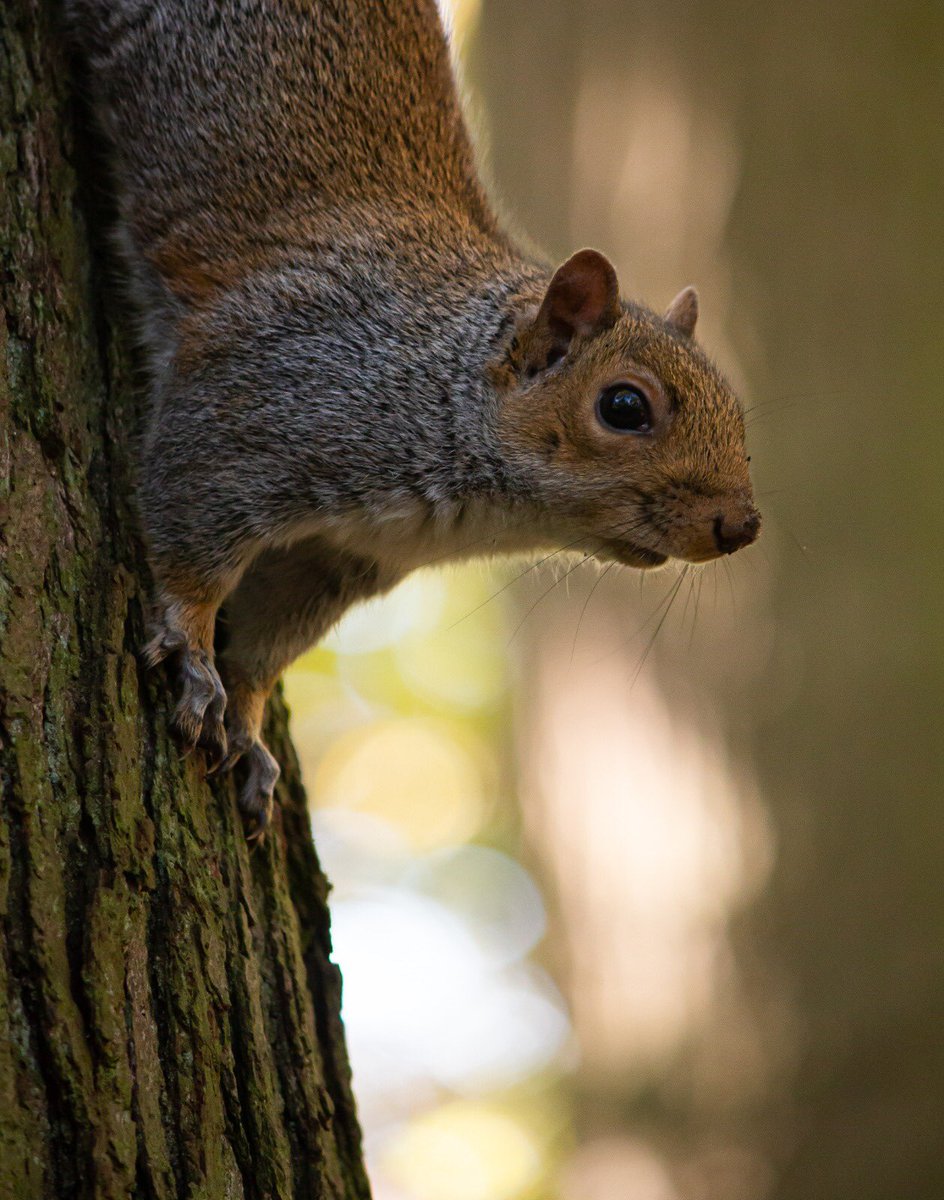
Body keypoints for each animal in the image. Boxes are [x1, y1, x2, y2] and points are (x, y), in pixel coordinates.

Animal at [67, 0, 760, 836]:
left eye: (740, 419)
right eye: (624, 406)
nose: (742, 525)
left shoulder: (335, 560)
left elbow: (266, 644)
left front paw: (250, 725)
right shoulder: (255, 404)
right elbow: (188, 535)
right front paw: (194, 654)